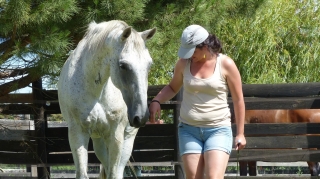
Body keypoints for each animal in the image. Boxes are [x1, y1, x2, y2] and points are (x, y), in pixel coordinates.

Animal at [57, 20, 158, 178]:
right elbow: (83, 174)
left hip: (127, 140)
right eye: (123, 65)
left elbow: (114, 173)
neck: (96, 90)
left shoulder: (115, 135)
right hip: (99, 140)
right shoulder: (77, 133)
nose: (141, 116)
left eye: (149, 65)